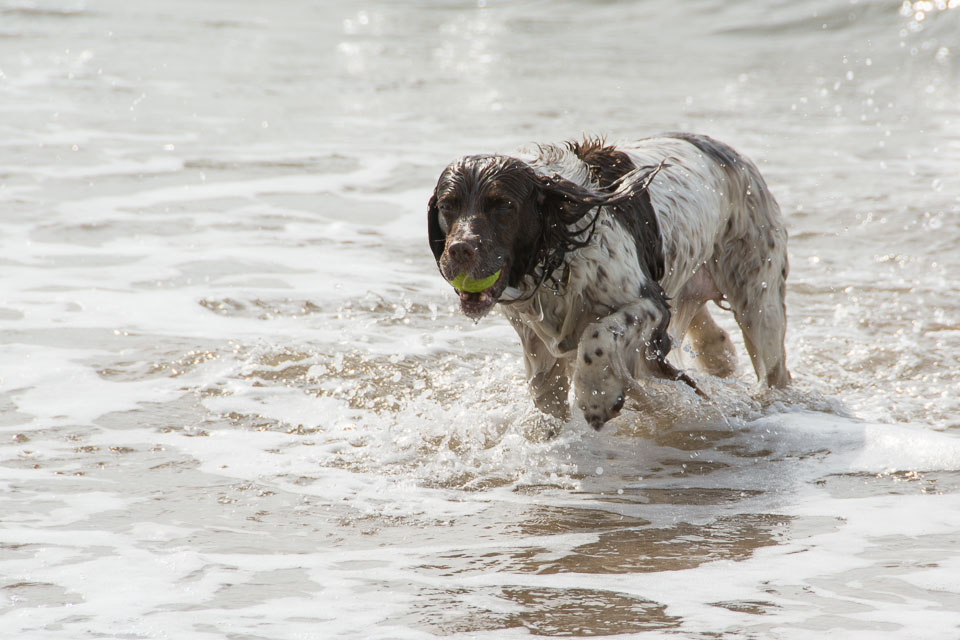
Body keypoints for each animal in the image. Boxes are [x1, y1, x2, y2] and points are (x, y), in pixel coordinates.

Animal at [428, 132, 788, 428]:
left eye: (504, 205)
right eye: (447, 205)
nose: (459, 250)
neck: (559, 252)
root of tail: (728, 152)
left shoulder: (650, 303)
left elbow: (597, 334)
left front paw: (596, 396)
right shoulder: (535, 343)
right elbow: (547, 398)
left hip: (759, 301)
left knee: (774, 369)